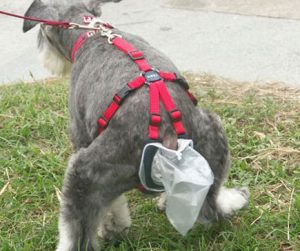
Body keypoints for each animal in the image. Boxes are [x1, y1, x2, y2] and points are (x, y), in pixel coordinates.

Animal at [22, 0, 248, 249]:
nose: (46, 58)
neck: (90, 32)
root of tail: (166, 133)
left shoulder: (81, 136)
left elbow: (113, 207)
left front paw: (113, 228)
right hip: (214, 137)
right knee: (212, 204)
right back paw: (231, 200)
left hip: (84, 174)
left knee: (77, 236)